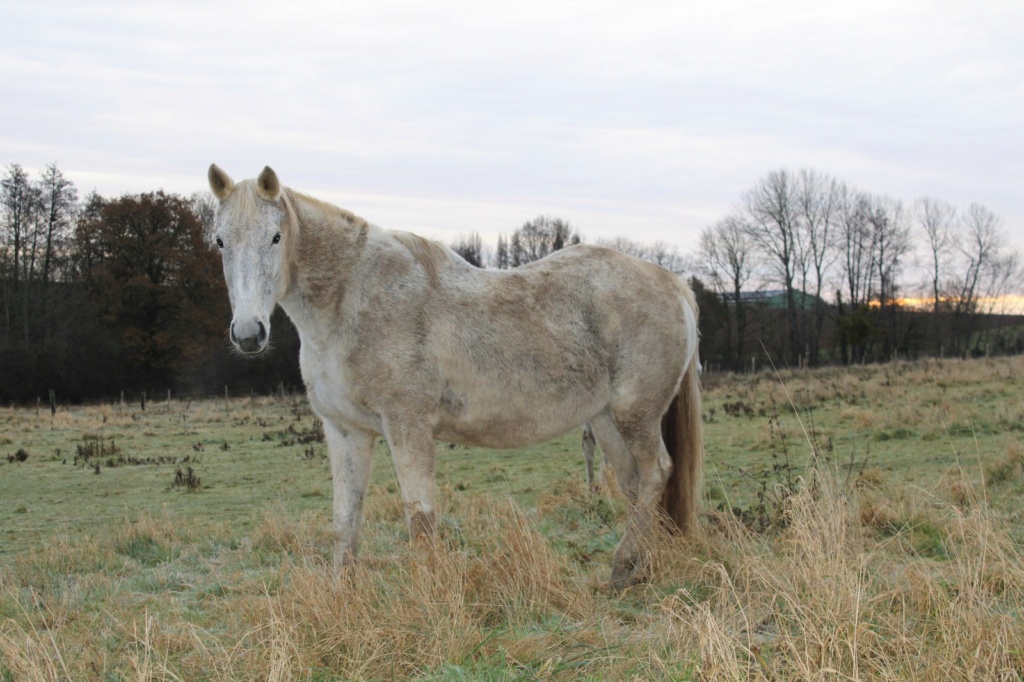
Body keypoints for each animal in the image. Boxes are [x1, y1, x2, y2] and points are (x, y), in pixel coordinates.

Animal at [207, 163, 704, 585]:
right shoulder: (346, 430)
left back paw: (624, 565)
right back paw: (637, 567)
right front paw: (340, 597)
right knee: (635, 483)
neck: (353, 302)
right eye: (219, 241)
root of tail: (672, 282)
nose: (249, 333)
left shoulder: (407, 425)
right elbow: (346, 522)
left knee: (656, 473)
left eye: (276, 237)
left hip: (635, 414)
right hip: (604, 419)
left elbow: (420, 517)